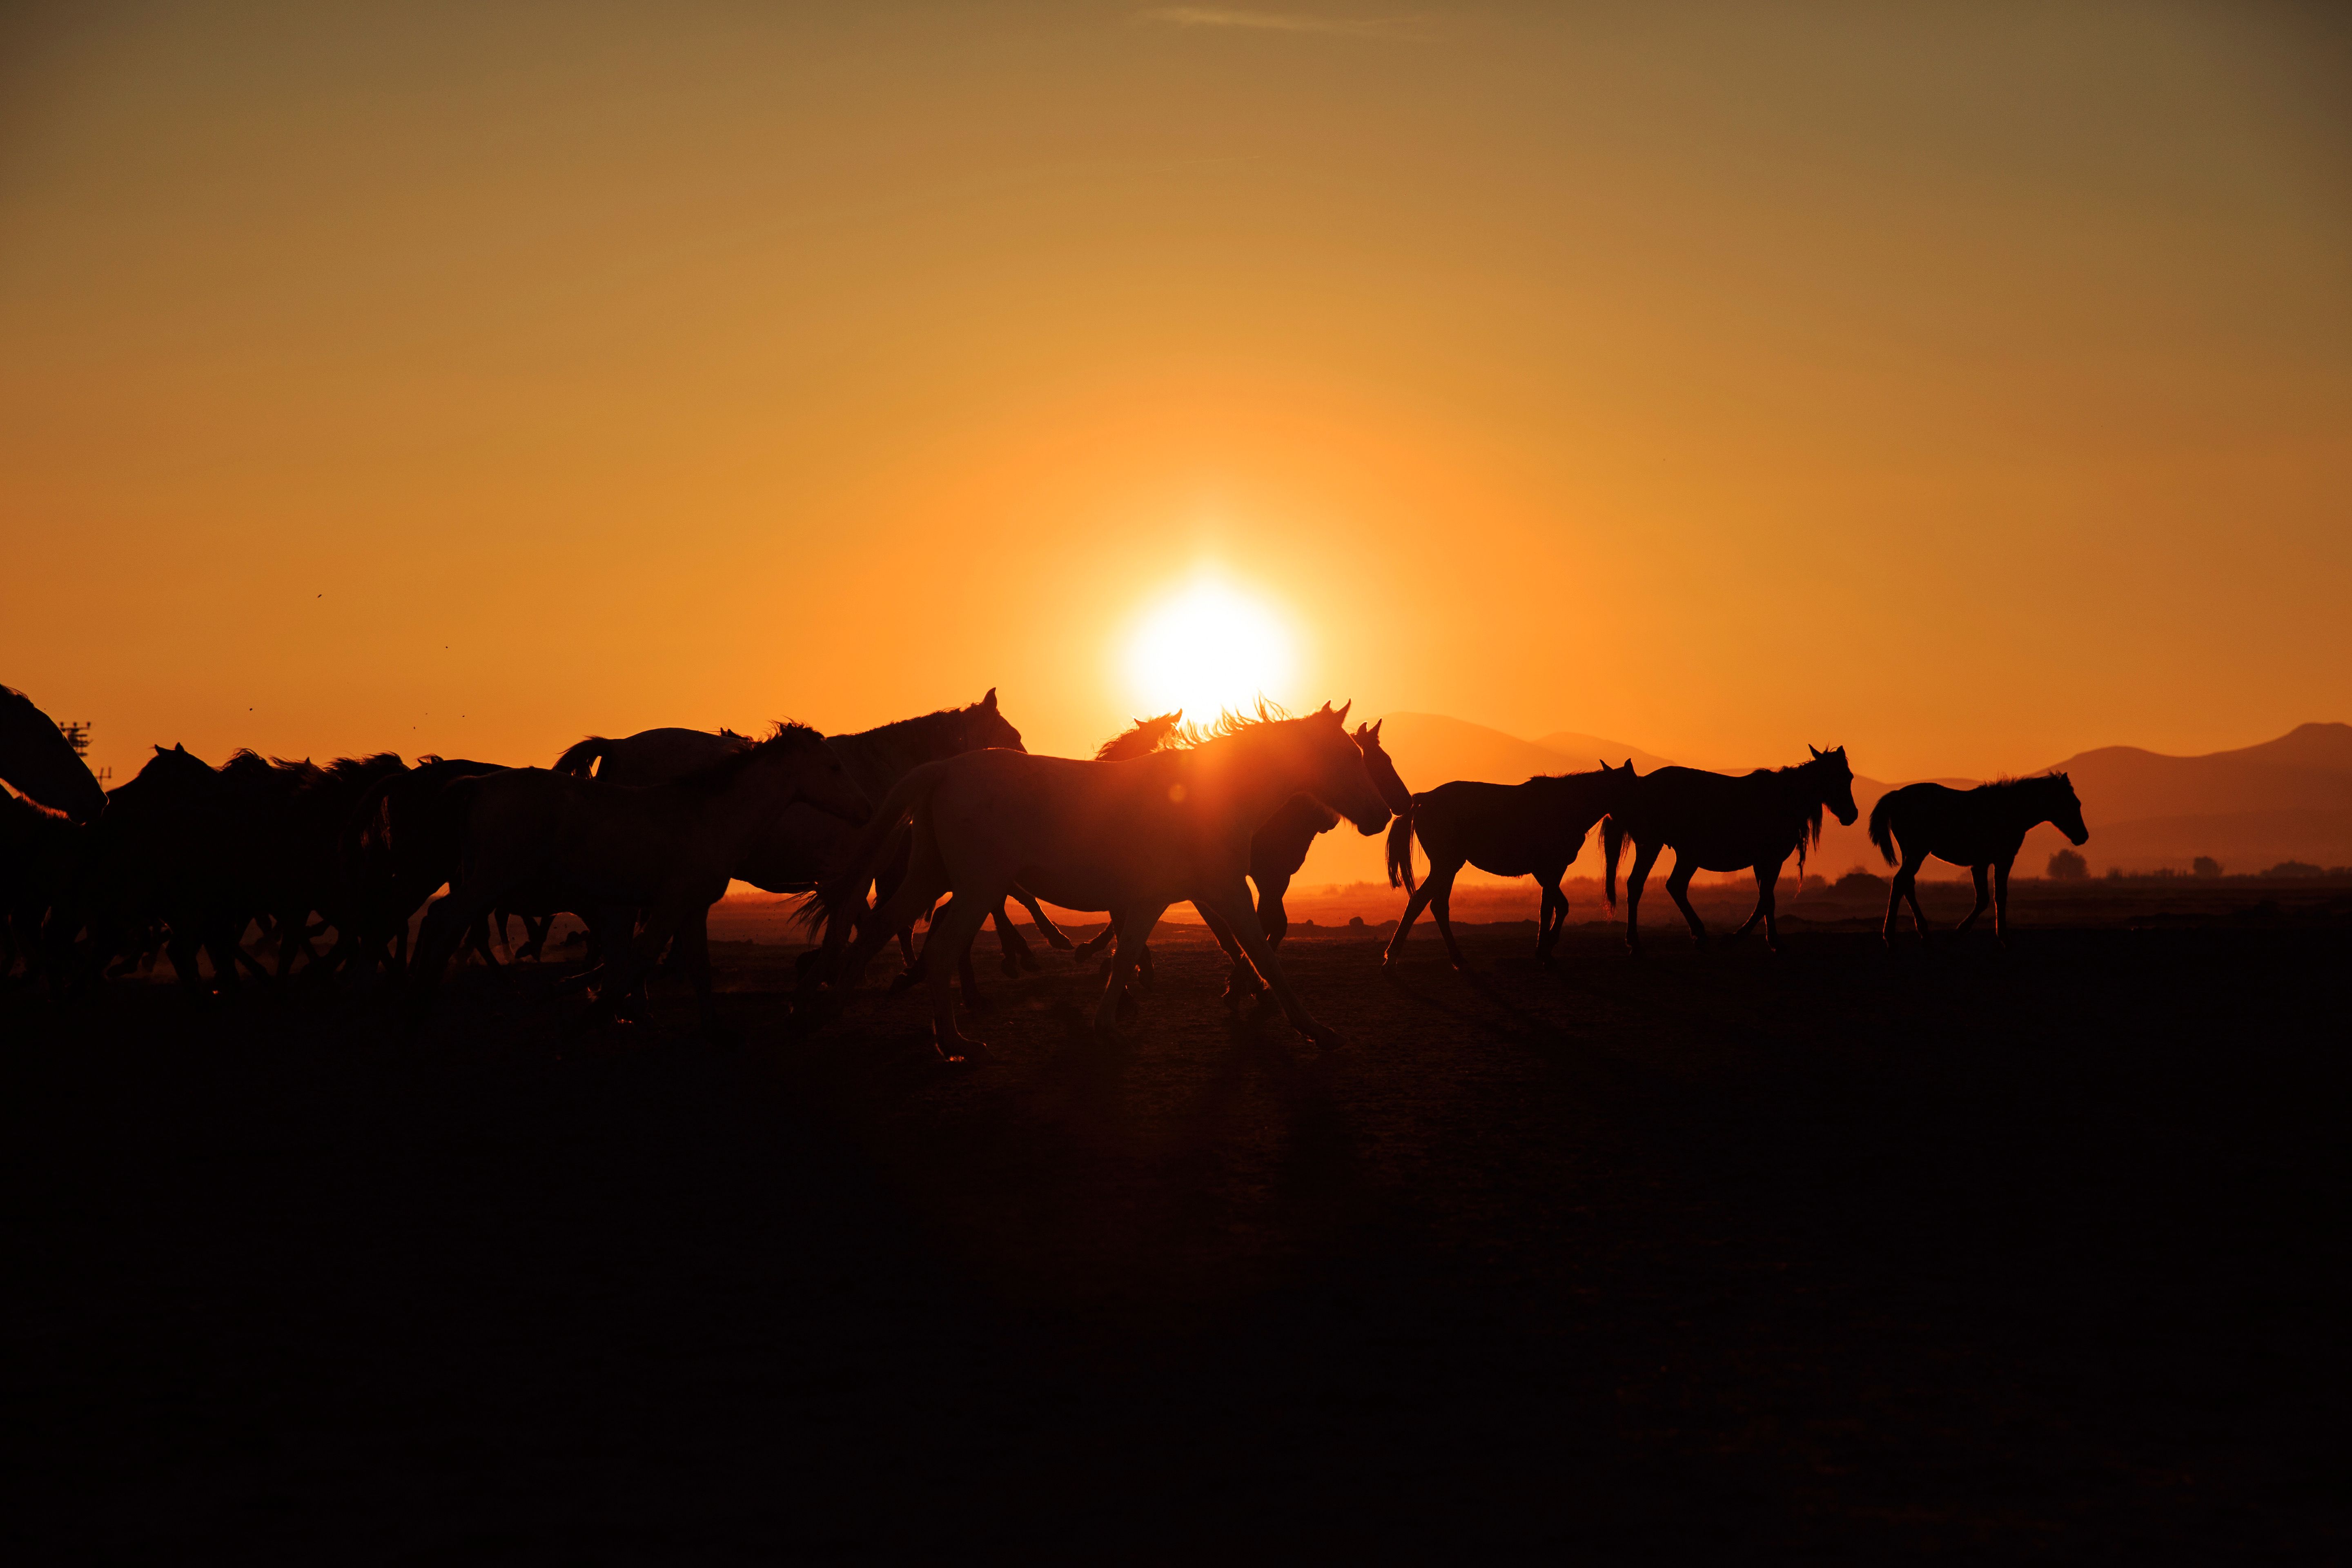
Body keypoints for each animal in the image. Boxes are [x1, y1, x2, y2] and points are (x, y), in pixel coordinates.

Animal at [411, 725, 868, 1037]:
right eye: (833, 767)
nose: (863, 811)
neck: (709, 817)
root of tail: (478, 787)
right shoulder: (668, 904)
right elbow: (641, 957)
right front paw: (597, 1014)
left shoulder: (692, 908)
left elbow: (698, 967)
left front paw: (714, 1029)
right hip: (491, 881)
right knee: (444, 919)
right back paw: (419, 996)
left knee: (443, 921)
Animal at [1061, 712, 1414, 1008]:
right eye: (1375, 761)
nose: (1402, 804)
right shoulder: (1256, 879)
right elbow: (1247, 930)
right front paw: (1242, 986)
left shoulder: (1270, 880)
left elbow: (1267, 926)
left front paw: (1248, 984)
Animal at [1382, 760, 1641, 970]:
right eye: (1633, 787)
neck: (1565, 807)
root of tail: (1424, 799)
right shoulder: (1549, 868)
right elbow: (1553, 907)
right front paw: (1545, 952)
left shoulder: (1548, 871)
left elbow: (1554, 906)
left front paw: (1545, 950)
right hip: (1446, 865)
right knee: (1421, 902)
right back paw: (1393, 958)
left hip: (1448, 867)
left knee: (1436, 905)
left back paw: (1455, 959)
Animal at [1602, 747, 1860, 954]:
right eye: (1834, 777)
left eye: (1849, 776)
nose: (1852, 815)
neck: (1784, 799)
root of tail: (1638, 786)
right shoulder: (1771, 859)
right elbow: (1766, 900)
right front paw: (1736, 938)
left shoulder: (1762, 862)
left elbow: (1767, 899)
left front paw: (1774, 941)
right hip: (1665, 849)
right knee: (1653, 886)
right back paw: (1651, 940)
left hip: (1676, 852)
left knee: (1660, 886)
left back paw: (1677, 937)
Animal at [1867, 774, 2088, 944]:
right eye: (2073, 804)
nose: (2083, 837)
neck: (2009, 810)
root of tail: (1897, 796)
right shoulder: (2003, 860)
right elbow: (1998, 896)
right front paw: (2002, 938)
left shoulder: (1980, 864)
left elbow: (1983, 899)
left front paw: (1960, 932)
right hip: (1916, 853)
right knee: (1900, 883)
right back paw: (1890, 937)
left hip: (1912, 854)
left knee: (1907, 885)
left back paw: (1923, 933)